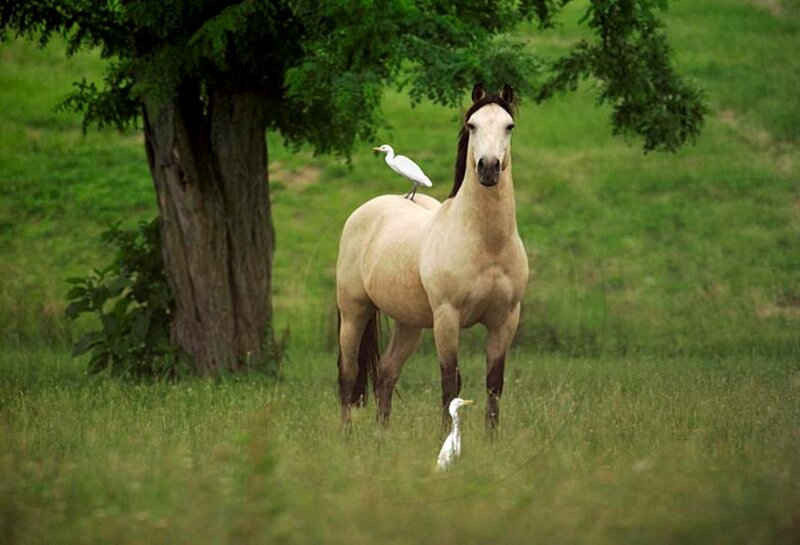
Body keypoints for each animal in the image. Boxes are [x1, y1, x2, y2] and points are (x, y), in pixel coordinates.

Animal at [336, 83, 529, 431]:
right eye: (472, 125)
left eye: (509, 126)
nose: (488, 168)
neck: (487, 244)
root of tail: (363, 212)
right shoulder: (447, 317)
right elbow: (450, 383)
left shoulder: (505, 320)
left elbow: (494, 385)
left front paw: (491, 439)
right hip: (354, 311)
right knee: (349, 374)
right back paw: (346, 436)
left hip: (408, 323)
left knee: (386, 373)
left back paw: (380, 436)